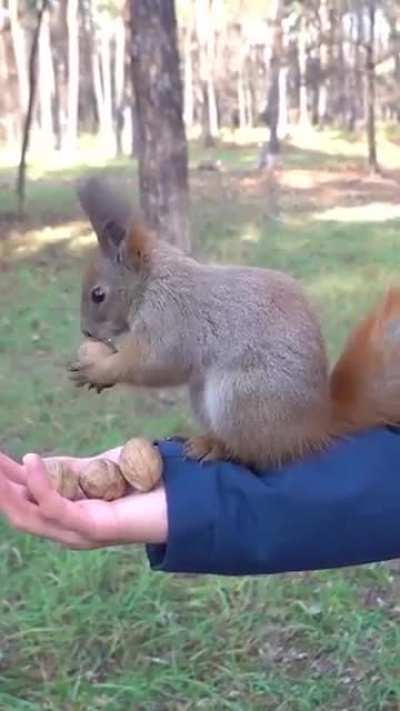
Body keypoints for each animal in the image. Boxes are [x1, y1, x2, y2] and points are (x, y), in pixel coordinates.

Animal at [69, 176, 400, 471]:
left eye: (98, 295)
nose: (86, 331)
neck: (153, 282)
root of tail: (313, 427)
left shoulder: (172, 321)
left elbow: (153, 363)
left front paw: (99, 370)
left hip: (239, 397)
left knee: (254, 453)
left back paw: (215, 447)